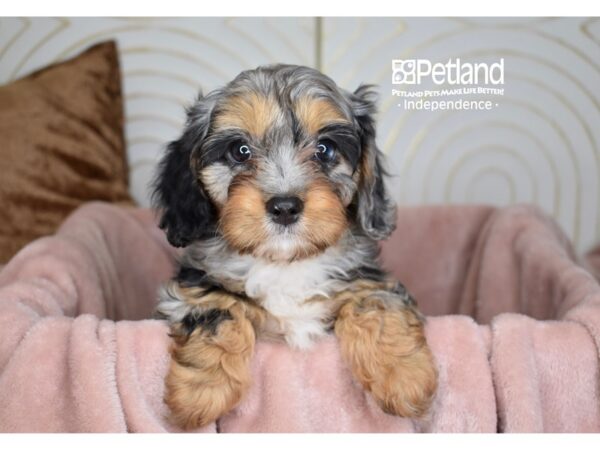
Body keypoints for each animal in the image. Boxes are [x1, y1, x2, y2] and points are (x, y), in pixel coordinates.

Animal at [152, 63, 438, 428]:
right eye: (239, 150)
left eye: (325, 149)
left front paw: (403, 376)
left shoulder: (366, 277)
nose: (285, 207)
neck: (286, 263)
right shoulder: (196, 283)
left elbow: (376, 304)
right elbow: (216, 310)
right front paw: (201, 390)